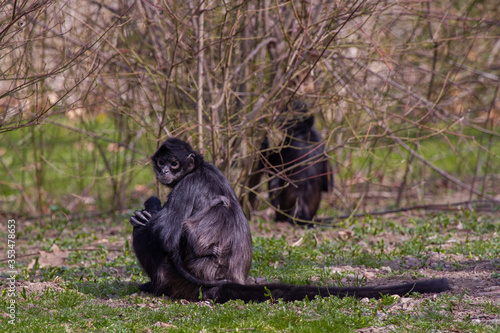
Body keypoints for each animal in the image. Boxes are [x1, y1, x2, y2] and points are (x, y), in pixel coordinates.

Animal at [129, 136, 450, 302]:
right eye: (161, 162)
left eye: (174, 164)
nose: (164, 172)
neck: (198, 168)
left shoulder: (186, 186)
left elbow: (164, 235)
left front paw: (150, 207)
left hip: (177, 276)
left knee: (145, 232)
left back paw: (153, 285)